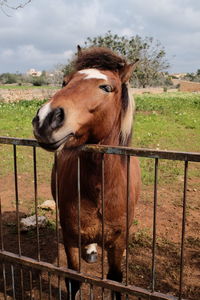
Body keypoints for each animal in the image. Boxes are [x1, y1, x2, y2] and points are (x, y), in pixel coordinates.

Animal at [32, 47, 141, 300]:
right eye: (65, 81)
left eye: (106, 88)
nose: (47, 119)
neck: (100, 190)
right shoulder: (71, 238)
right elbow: (74, 280)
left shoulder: (118, 243)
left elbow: (115, 282)